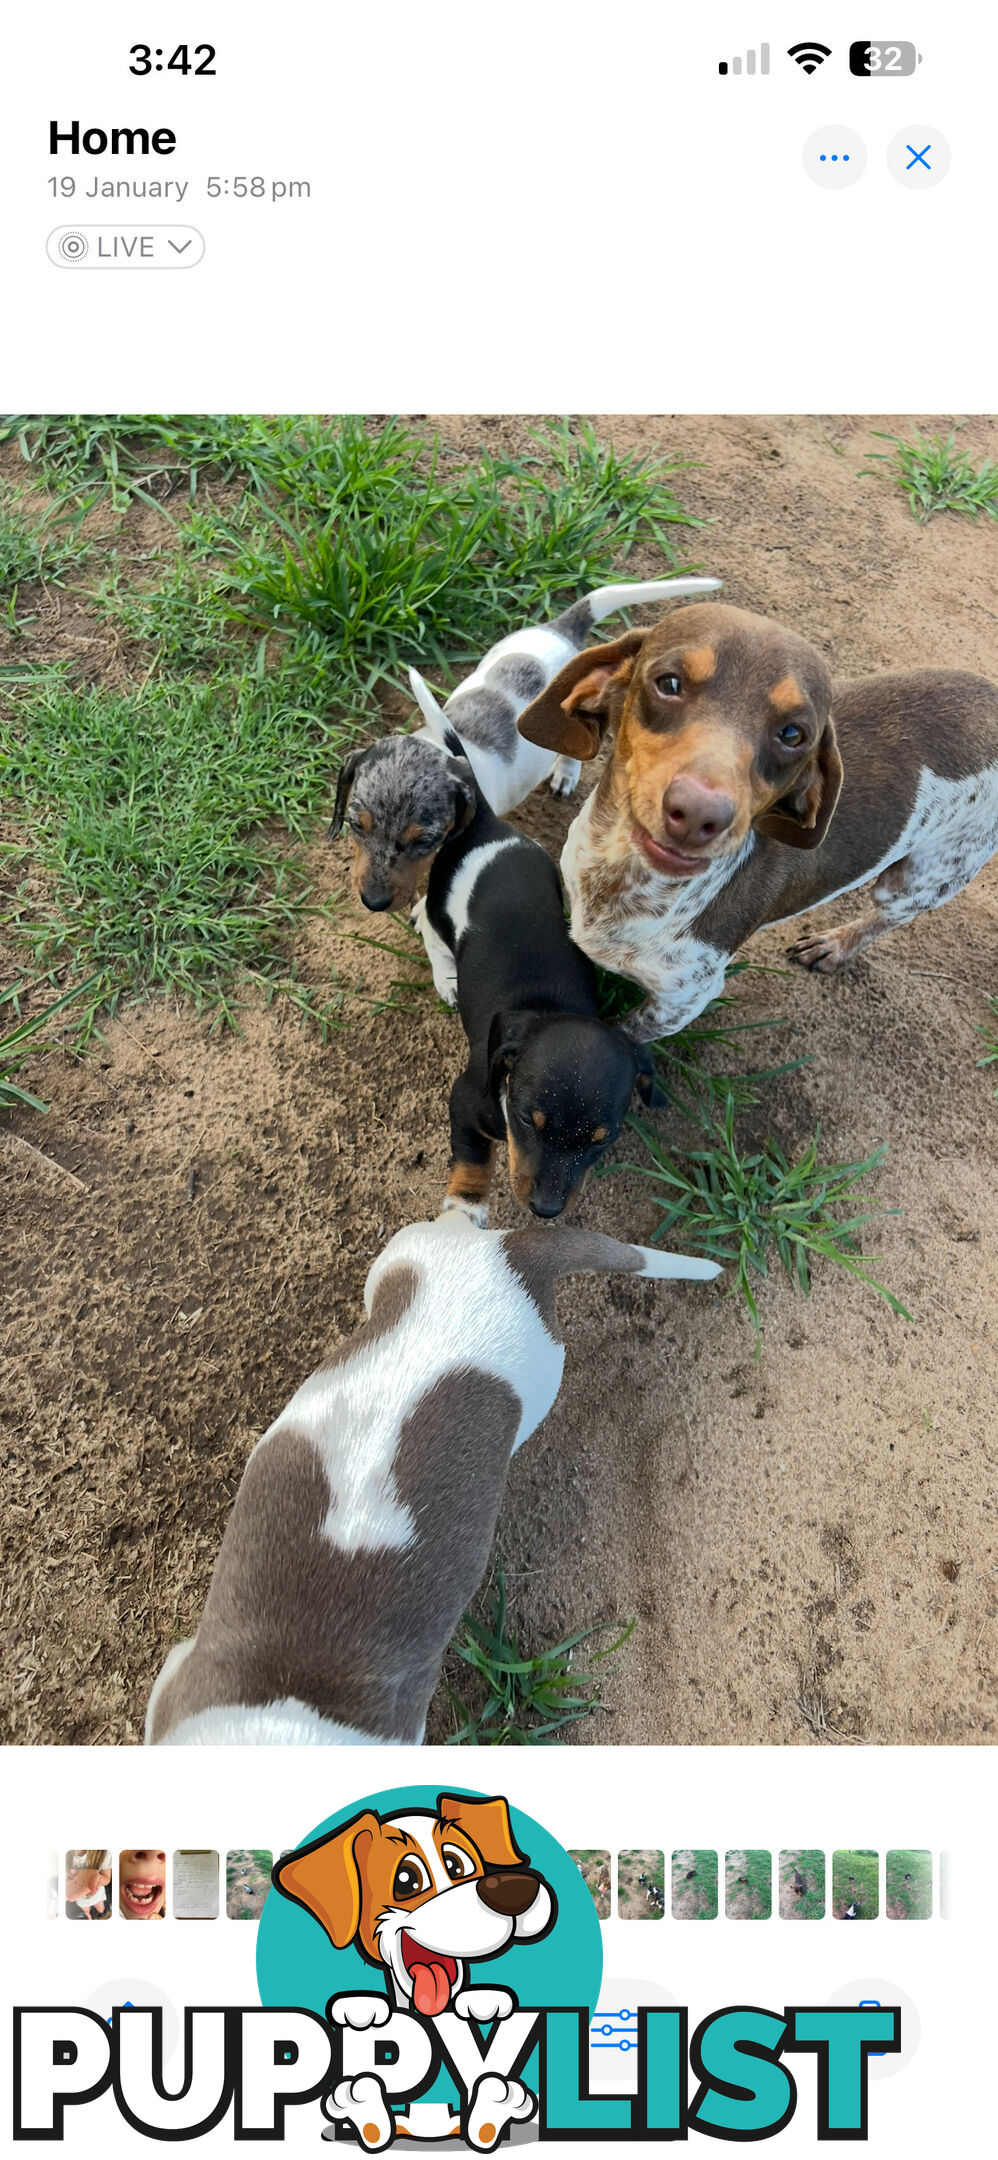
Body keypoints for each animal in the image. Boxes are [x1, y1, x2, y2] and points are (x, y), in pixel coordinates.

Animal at [412, 747, 661, 1226]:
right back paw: (446, 975)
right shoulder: (464, 1100)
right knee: (431, 930)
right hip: (439, 907)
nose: (546, 1210)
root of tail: (490, 826)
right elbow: (473, 1157)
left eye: (601, 1139)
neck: (546, 1007)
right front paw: (466, 1204)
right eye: (528, 1121)